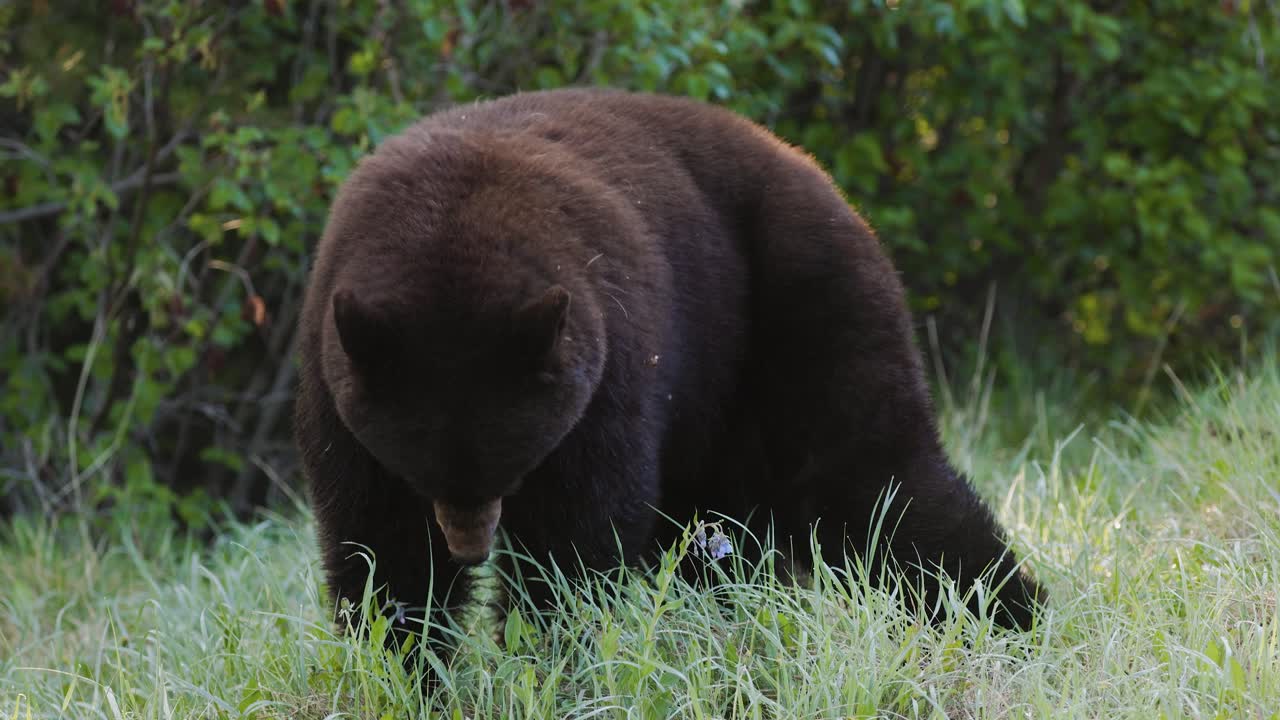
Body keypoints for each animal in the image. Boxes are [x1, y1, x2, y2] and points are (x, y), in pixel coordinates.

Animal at [293, 87, 1043, 666]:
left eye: (514, 462)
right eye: (420, 468)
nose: (470, 548)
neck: (452, 225)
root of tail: (814, 170)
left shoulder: (610, 373)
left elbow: (576, 538)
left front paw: (554, 655)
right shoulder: (337, 387)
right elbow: (378, 542)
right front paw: (407, 663)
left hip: (803, 299)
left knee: (877, 477)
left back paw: (1011, 617)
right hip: (722, 413)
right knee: (729, 534)